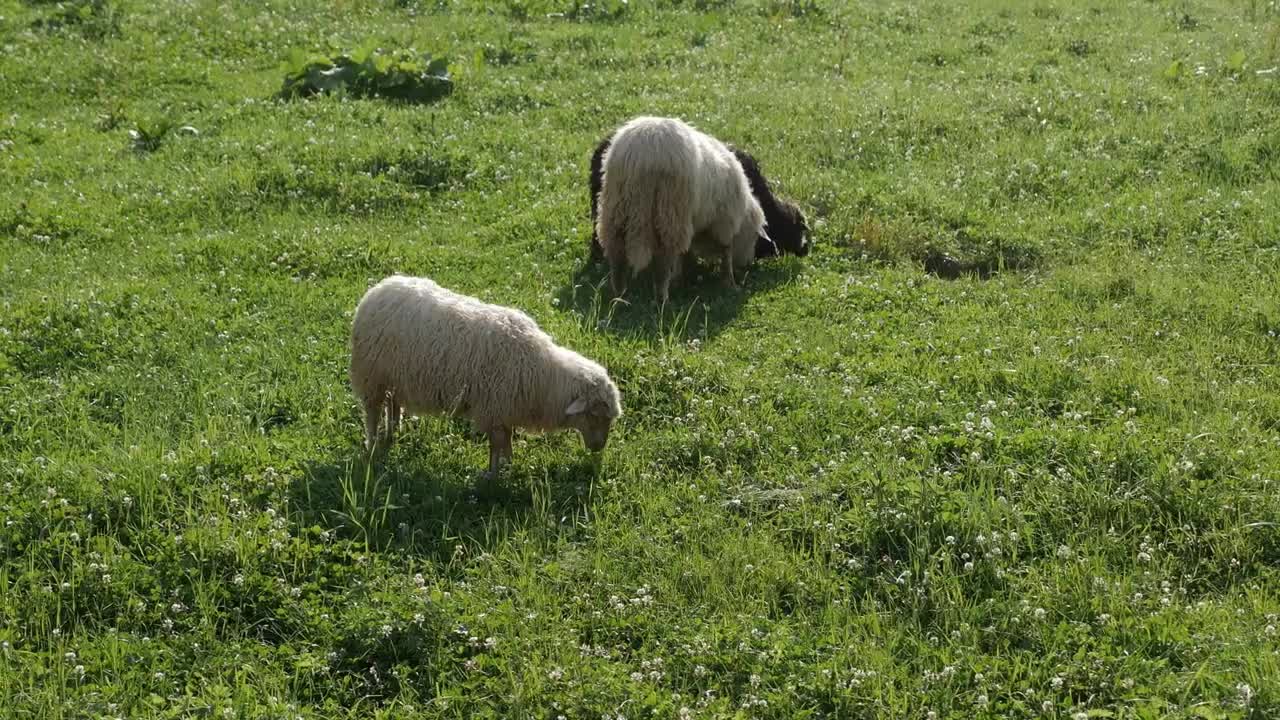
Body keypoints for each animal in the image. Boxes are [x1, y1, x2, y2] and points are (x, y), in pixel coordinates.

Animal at [353, 274, 622, 476]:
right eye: (595, 415)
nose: (599, 448)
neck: (543, 376)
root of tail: (380, 287)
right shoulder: (493, 408)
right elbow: (496, 445)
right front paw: (493, 475)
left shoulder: (505, 410)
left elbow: (507, 440)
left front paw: (508, 464)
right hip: (371, 375)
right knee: (372, 413)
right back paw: (372, 443)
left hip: (394, 375)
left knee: (393, 402)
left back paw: (394, 430)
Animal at [593, 116, 762, 301]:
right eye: (755, 236)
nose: (748, 263)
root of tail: (642, 150)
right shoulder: (725, 222)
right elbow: (726, 252)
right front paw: (730, 283)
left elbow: (684, 253)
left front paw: (680, 277)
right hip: (670, 209)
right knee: (663, 260)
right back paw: (662, 298)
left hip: (616, 208)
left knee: (617, 255)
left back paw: (619, 296)